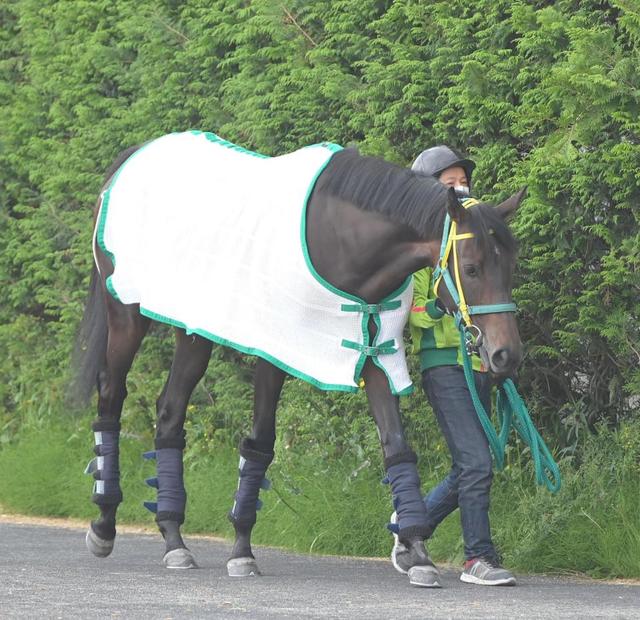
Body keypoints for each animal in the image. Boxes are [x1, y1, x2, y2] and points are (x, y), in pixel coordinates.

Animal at [76, 131, 524, 588]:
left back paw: (173, 538)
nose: (505, 354)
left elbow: (396, 446)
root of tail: (133, 159)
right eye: (471, 268)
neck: (340, 238)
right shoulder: (276, 350)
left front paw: (416, 551)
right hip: (125, 313)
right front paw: (241, 549)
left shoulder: (374, 348)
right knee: (111, 395)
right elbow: (260, 442)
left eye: (510, 264)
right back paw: (104, 525)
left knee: (169, 412)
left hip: (194, 328)